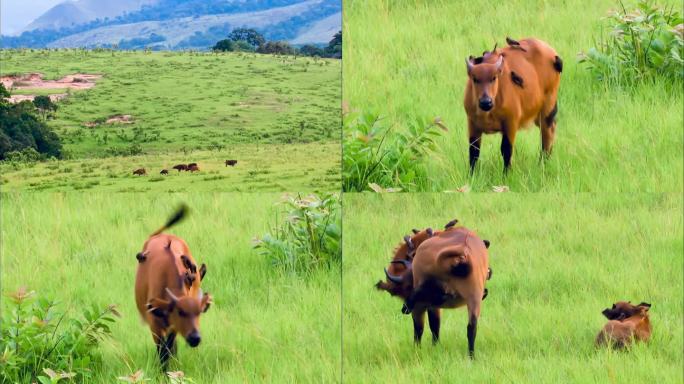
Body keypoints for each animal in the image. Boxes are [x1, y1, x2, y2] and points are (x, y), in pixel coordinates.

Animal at [132, 204, 210, 368]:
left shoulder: (172, 327)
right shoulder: (155, 326)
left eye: (199, 312)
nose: (195, 338)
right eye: (180, 312)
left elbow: (169, 347)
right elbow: (163, 351)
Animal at [374, 220, 492, 358]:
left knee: (420, 325)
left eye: (406, 286)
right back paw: (471, 356)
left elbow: (430, 326)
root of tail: (460, 256)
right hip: (473, 299)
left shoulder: (428, 305)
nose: (404, 307)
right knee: (471, 327)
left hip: (425, 302)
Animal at [462, 37, 564, 172]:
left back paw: (542, 163)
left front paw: (506, 173)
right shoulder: (472, 124)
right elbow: (473, 152)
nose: (486, 102)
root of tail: (553, 54)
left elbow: (506, 150)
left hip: (547, 110)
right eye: (475, 79)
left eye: (494, 78)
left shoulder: (510, 124)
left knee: (547, 135)